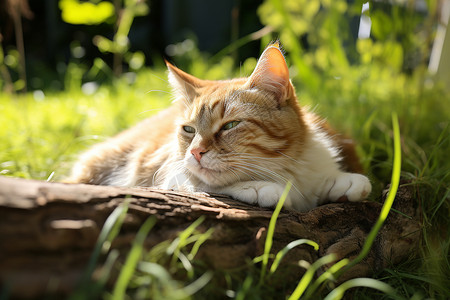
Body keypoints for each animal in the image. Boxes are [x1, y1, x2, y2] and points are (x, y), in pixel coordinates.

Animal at [66, 42, 370, 211]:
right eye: (189, 130)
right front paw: (261, 187)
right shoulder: (171, 175)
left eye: (230, 125)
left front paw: (341, 181)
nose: (195, 152)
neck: (283, 168)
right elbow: (206, 183)